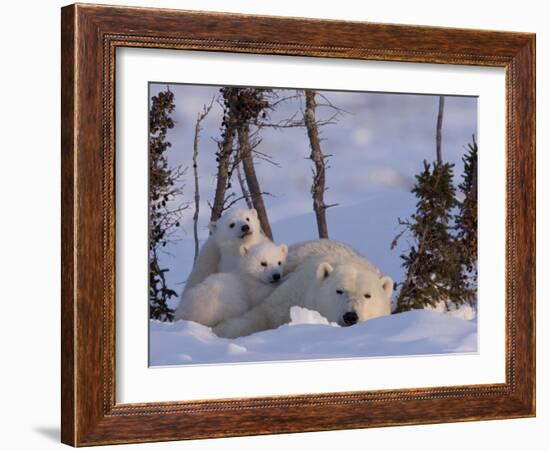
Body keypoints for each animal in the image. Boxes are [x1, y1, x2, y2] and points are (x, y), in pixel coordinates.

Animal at [212, 240, 396, 340]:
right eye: (339, 291)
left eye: (367, 295)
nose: (350, 316)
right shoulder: (295, 291)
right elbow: (262, 315)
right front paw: (221, 330)